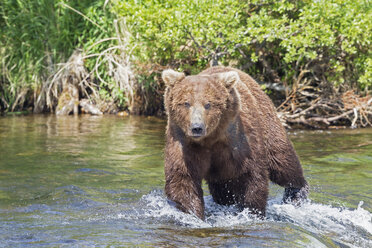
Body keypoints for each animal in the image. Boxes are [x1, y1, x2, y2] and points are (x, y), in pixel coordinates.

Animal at [162, 66, 308, 219]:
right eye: (186, 103)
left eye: (208, 104)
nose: (197, 127)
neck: (211, 138)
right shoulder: (184, 143)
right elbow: (183, 179)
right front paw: (193, 214)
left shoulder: (238, 141)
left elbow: (252, 175)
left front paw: (251, 212)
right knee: (222, 188)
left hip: (267, 122)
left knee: (281, 161)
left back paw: (297, 192)